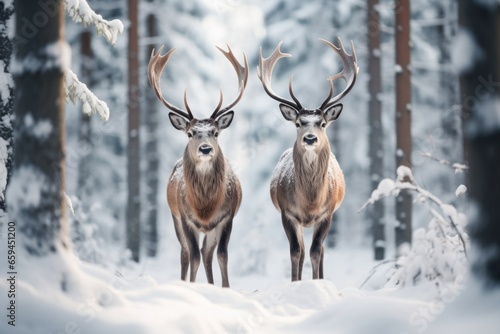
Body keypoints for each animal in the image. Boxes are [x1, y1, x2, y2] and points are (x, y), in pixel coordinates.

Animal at [146, 45, 248, 288]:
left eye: (215, 132)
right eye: (191, 133)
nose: (205, 149)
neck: (204, 208)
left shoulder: (227, 217)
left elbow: (222, 255)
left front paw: (225, 288)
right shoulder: (185, 217)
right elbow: (192, 256)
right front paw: (191, 287)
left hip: (210, 229)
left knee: (206, 253)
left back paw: (210, 284)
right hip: (175, 217)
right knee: (187, 253)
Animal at [258, 37, 360, 280]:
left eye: (322, 123)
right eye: (298, 123)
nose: (310, 138)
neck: (310, 203)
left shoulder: (327, 213)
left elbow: (316, 252)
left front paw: (317, 282)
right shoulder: (287, 213)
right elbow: (296, 252)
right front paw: (296, 283)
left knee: (319, 250)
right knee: (304, 250)